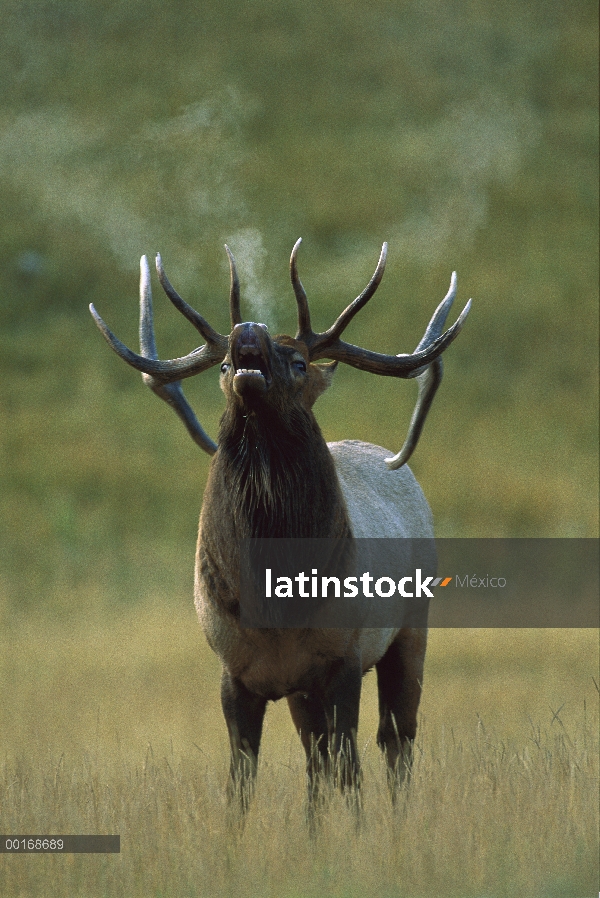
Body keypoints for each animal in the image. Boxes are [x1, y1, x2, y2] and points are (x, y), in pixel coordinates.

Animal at [91, 238, 472, 804]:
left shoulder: (344, 660)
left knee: (395, 740)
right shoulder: (237, 672)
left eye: (297, 360)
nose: (248, 330)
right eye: (223, 366)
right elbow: (242, 778)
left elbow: (351, 768)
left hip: (410, 630)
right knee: (317, 759)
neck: (277, 604)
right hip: (302, 689)